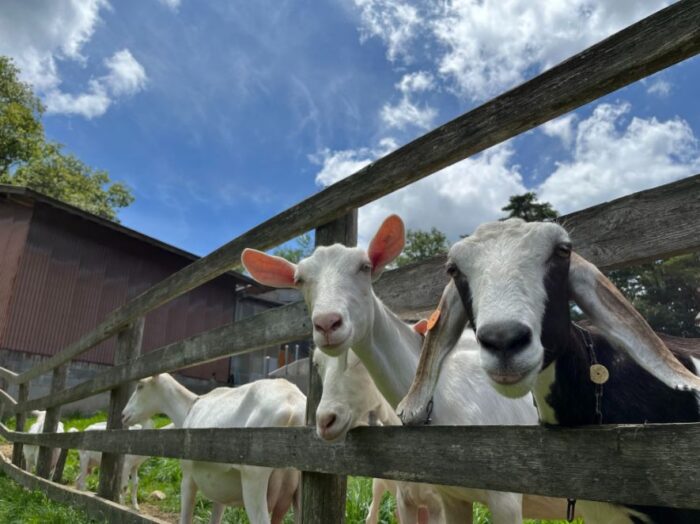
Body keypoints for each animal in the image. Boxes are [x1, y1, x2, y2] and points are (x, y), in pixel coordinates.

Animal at [123, 372, 304, 524]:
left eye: (140, 386)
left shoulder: (188, 476)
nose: (124, 415)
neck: (188, 409)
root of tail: (293, 408)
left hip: (254, 480)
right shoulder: (220, 491)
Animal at [241, 214, 576, 524]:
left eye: (365, 267)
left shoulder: (504, 497)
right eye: (299, 279)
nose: (327, 323)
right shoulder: (433, 497)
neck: (443, 401)